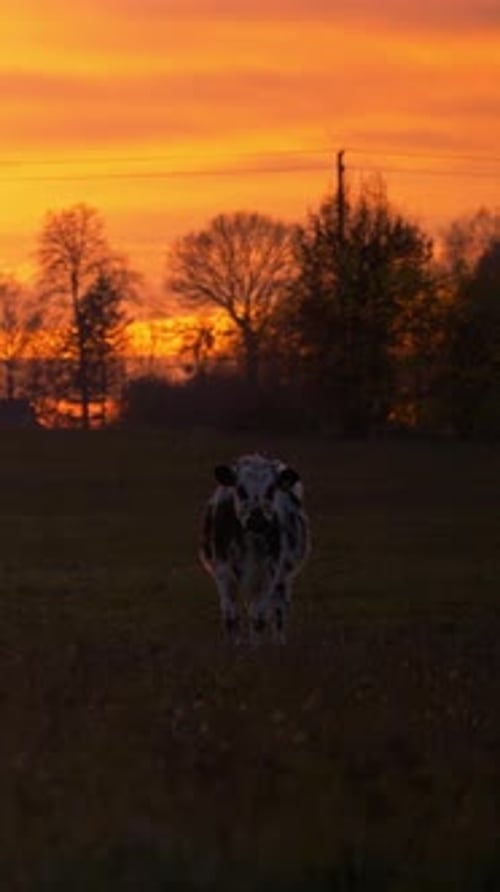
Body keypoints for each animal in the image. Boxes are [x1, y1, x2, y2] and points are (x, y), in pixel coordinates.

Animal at [200, 453, 310, 644]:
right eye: (240, 489)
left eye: (271, 489)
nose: (257, 520)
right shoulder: (223, 572)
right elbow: (231, 617)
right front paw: (234, 646)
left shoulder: (269, 575)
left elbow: (258, 618)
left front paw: (255, 648)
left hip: (283, 579)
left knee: (280, 610)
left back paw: (279, 642)